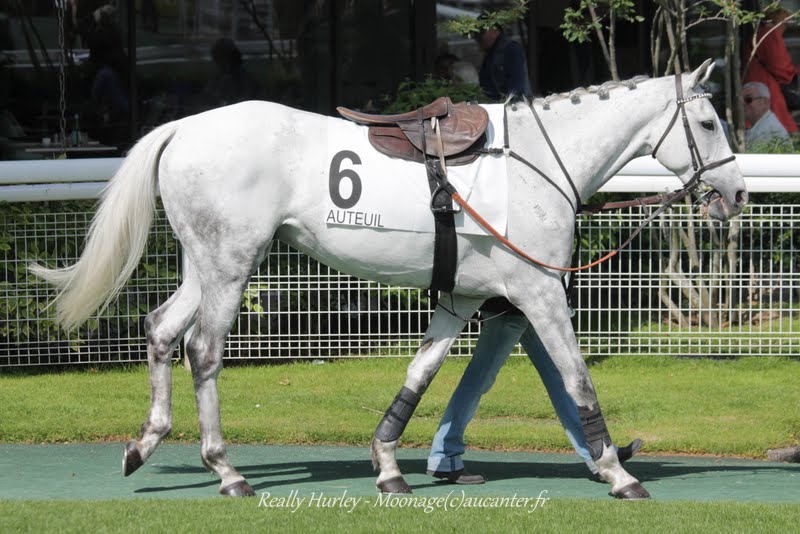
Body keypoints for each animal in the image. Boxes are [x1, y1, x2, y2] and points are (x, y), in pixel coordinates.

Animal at [29, 60, 744, 500]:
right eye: (710, 123)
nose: (735, 195)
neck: (535, 163)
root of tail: (183, 127)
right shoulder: (540, 293)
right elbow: (577, 380)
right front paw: (618, 471)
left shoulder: (462, 300)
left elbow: (418, 378)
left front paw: (389, 466)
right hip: (231, 265)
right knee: (202, 351)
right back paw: (226, 470)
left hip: (204, 265)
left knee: (159, 330)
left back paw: (145, 443)